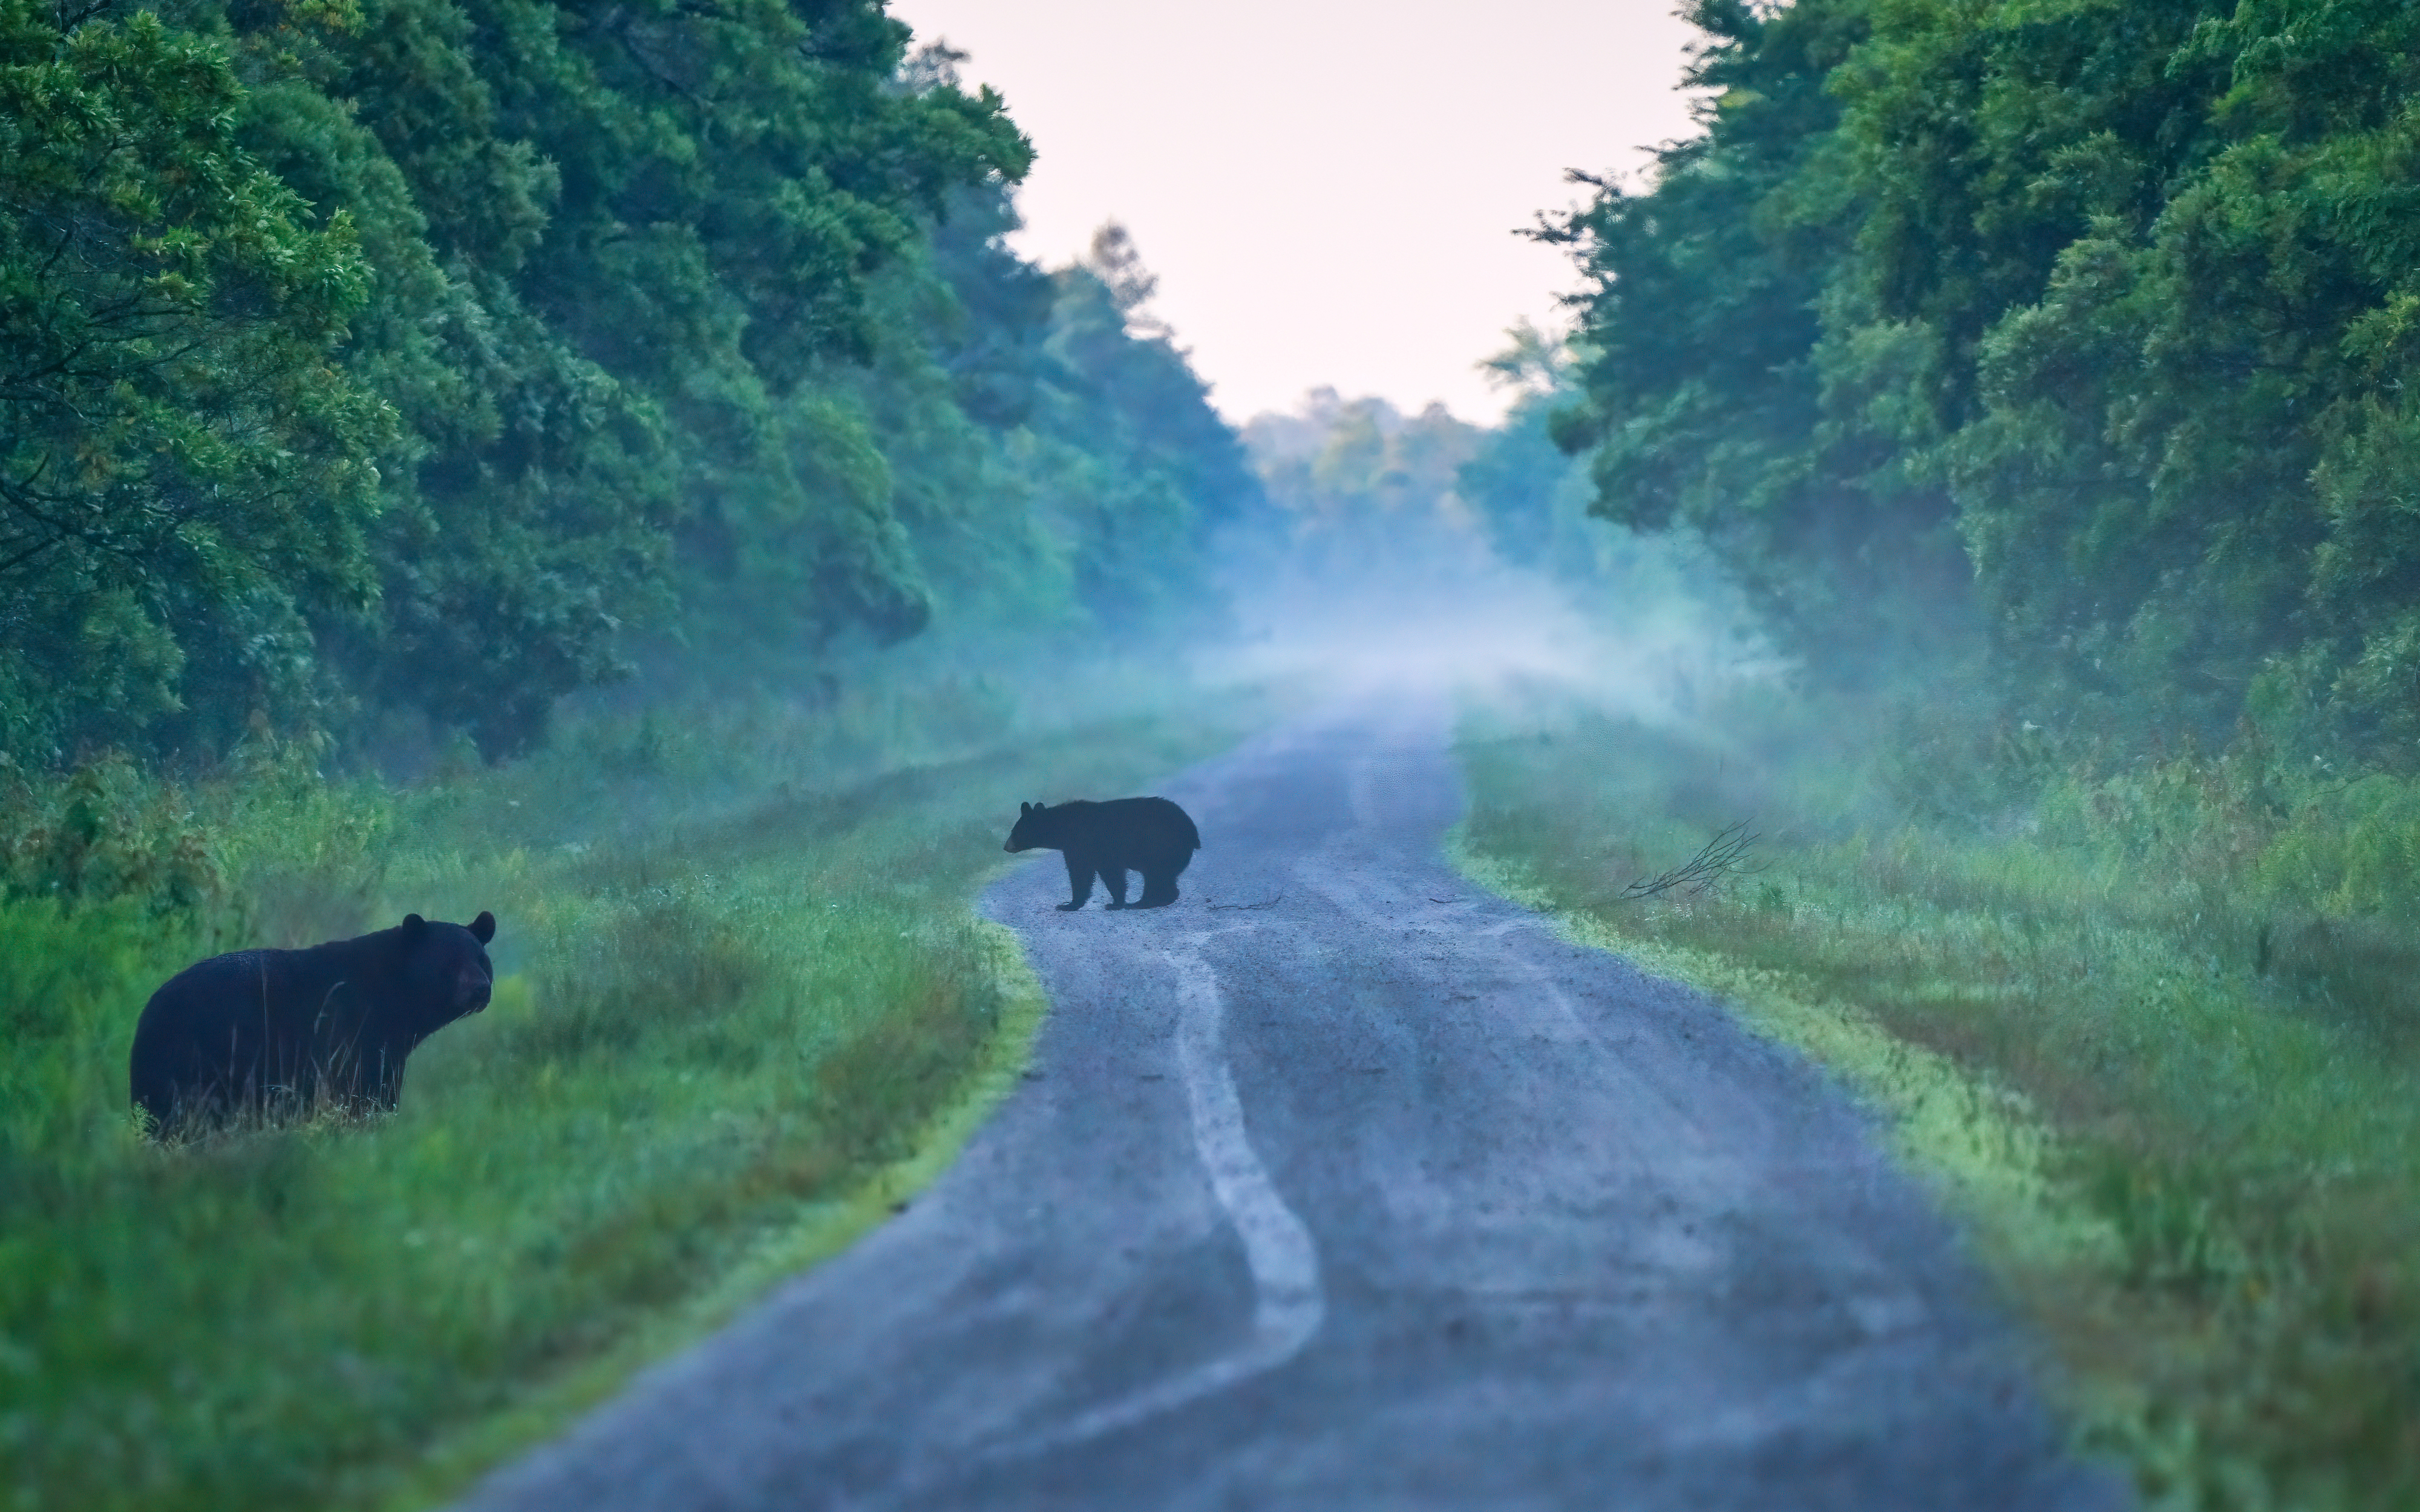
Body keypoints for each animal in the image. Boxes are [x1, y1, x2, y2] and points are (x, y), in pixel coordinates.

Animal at [129, 911, 497, 1137]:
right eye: (449, 963)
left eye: (482, 960)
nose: (481, 989)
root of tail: (146, 1016)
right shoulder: (354, 1034)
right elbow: (364, 1095)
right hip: (193, 1064)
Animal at [1004, 797, 1200, 911]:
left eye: (1015, 832)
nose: (1006, 846)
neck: (1063, 828)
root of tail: (1193, 833)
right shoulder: (1086, 850)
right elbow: (1094, 874)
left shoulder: (1086, 845)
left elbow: (1087, 874)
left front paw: (1071, 905)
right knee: (1161, 877)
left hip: (1160, 846)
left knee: (1156, 875)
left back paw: (1145, 903)